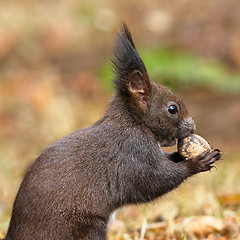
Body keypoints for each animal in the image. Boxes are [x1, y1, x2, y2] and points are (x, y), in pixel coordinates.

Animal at [2, 23, 222, 240]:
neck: (134, 123)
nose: (192, 127)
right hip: (85, 228)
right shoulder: (132, 154)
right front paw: (197, 163)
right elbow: (153, 181)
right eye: (172, 109)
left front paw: (183, 155)